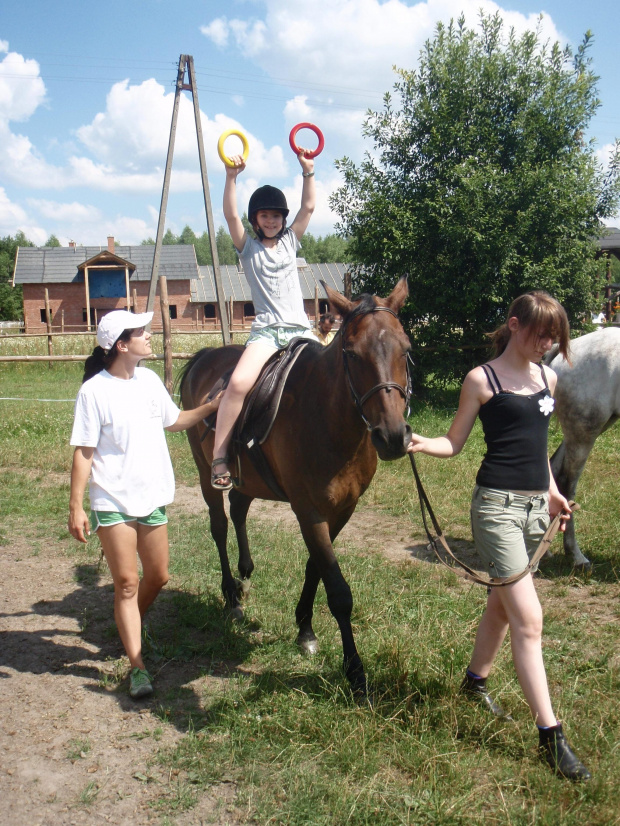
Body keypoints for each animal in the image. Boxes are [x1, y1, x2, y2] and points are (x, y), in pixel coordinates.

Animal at [179, 278, 412, 696]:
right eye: (351, 354)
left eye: (407, 349)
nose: (392, 437)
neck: (327, 415)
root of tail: (205, 356)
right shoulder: (309, 511)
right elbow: (338, 591)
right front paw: (355, 671)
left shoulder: (342, 510)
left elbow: (315, 568)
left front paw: (305, 628)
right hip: (206, 470)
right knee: (219, 525)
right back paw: (231, 596)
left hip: (249, 478)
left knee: (238, 506)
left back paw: (245, 571)